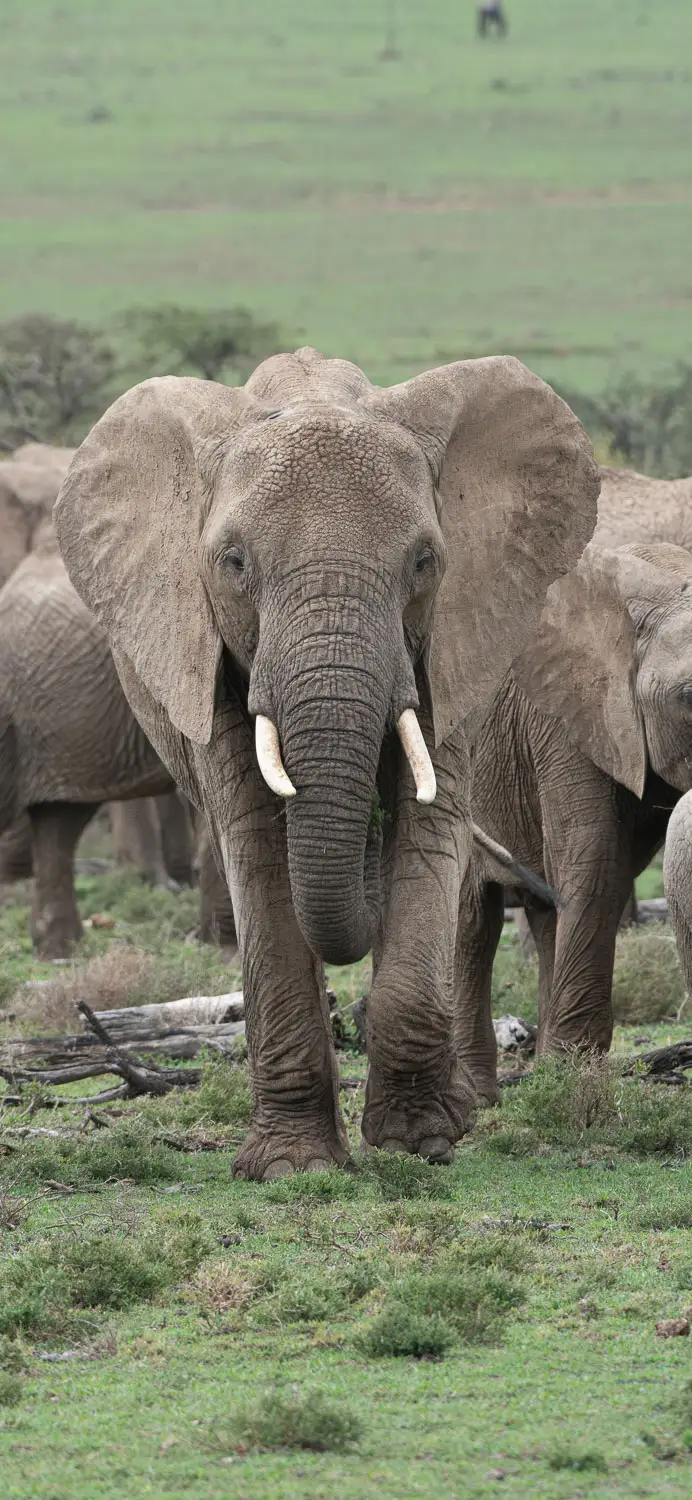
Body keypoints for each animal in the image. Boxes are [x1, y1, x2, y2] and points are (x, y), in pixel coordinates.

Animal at [55, 345, 598, 1178]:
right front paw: (294, 1165)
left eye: (424, 561)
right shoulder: (201, 647)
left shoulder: (455, 638)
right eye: (233, 562)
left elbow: (429, 824)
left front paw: (420, 1143)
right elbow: (255, 843)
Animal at [456, 540, 692, 1103]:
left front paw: (562, 1075)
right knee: (471, 924)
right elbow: (597, 865)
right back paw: (476, 1097)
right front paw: (573, 1077)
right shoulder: (566, 718)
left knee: (546, 913)